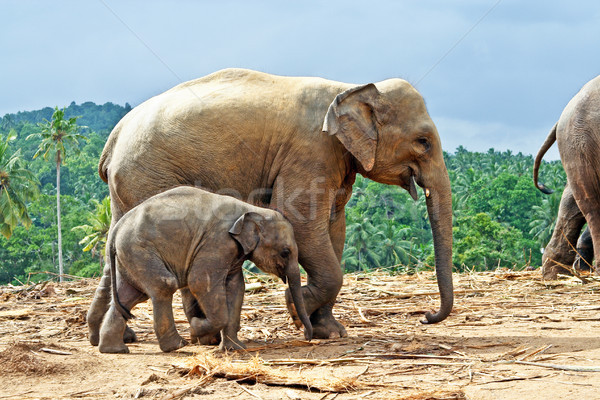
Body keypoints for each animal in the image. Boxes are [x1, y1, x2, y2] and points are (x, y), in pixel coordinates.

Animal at [97, 186, 314, 352]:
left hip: (130, 257)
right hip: (139, 249)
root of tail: (115, 229)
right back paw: (177, 346)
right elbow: (200, 282)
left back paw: (114, 349)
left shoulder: (234, 253)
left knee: (130, 295)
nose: (308, 336)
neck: (251, 209)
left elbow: (236, 288)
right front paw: (195, 328)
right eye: (285, 252)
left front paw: (235, 348)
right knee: (163, 285)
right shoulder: (217, 242)